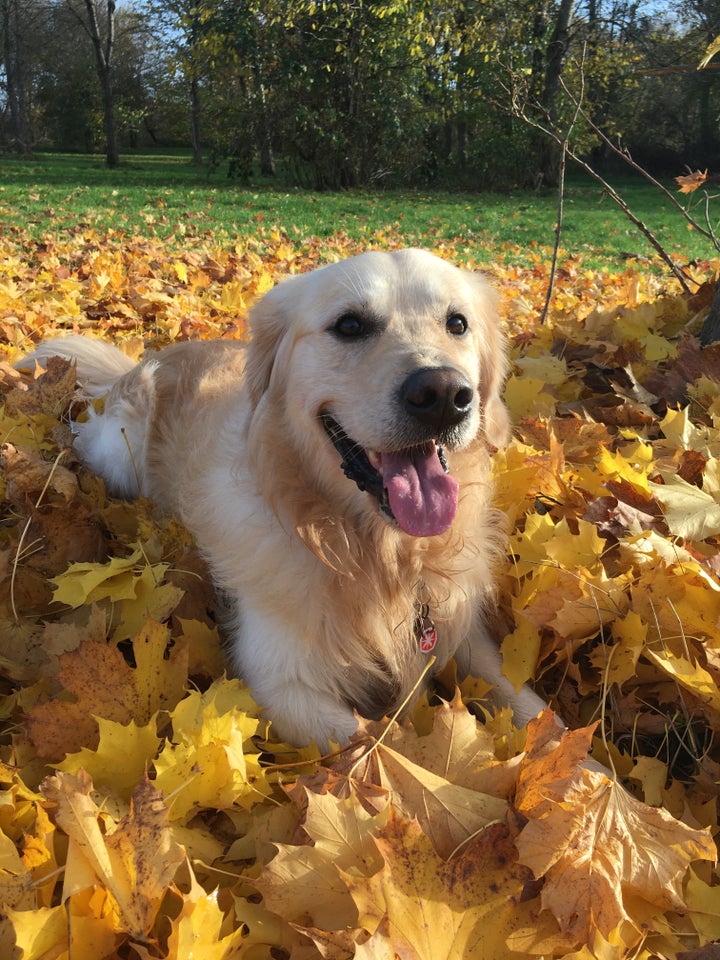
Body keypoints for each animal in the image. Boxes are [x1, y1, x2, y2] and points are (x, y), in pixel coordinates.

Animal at [18, 251, 544, 748]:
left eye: (457, 323)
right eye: (349, 325)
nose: (444, 395)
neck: (376, 555)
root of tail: (144, 361)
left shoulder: (462, 628)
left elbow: (527, 704)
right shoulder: (278, 687)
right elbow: (381, 755)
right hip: (118, 455)